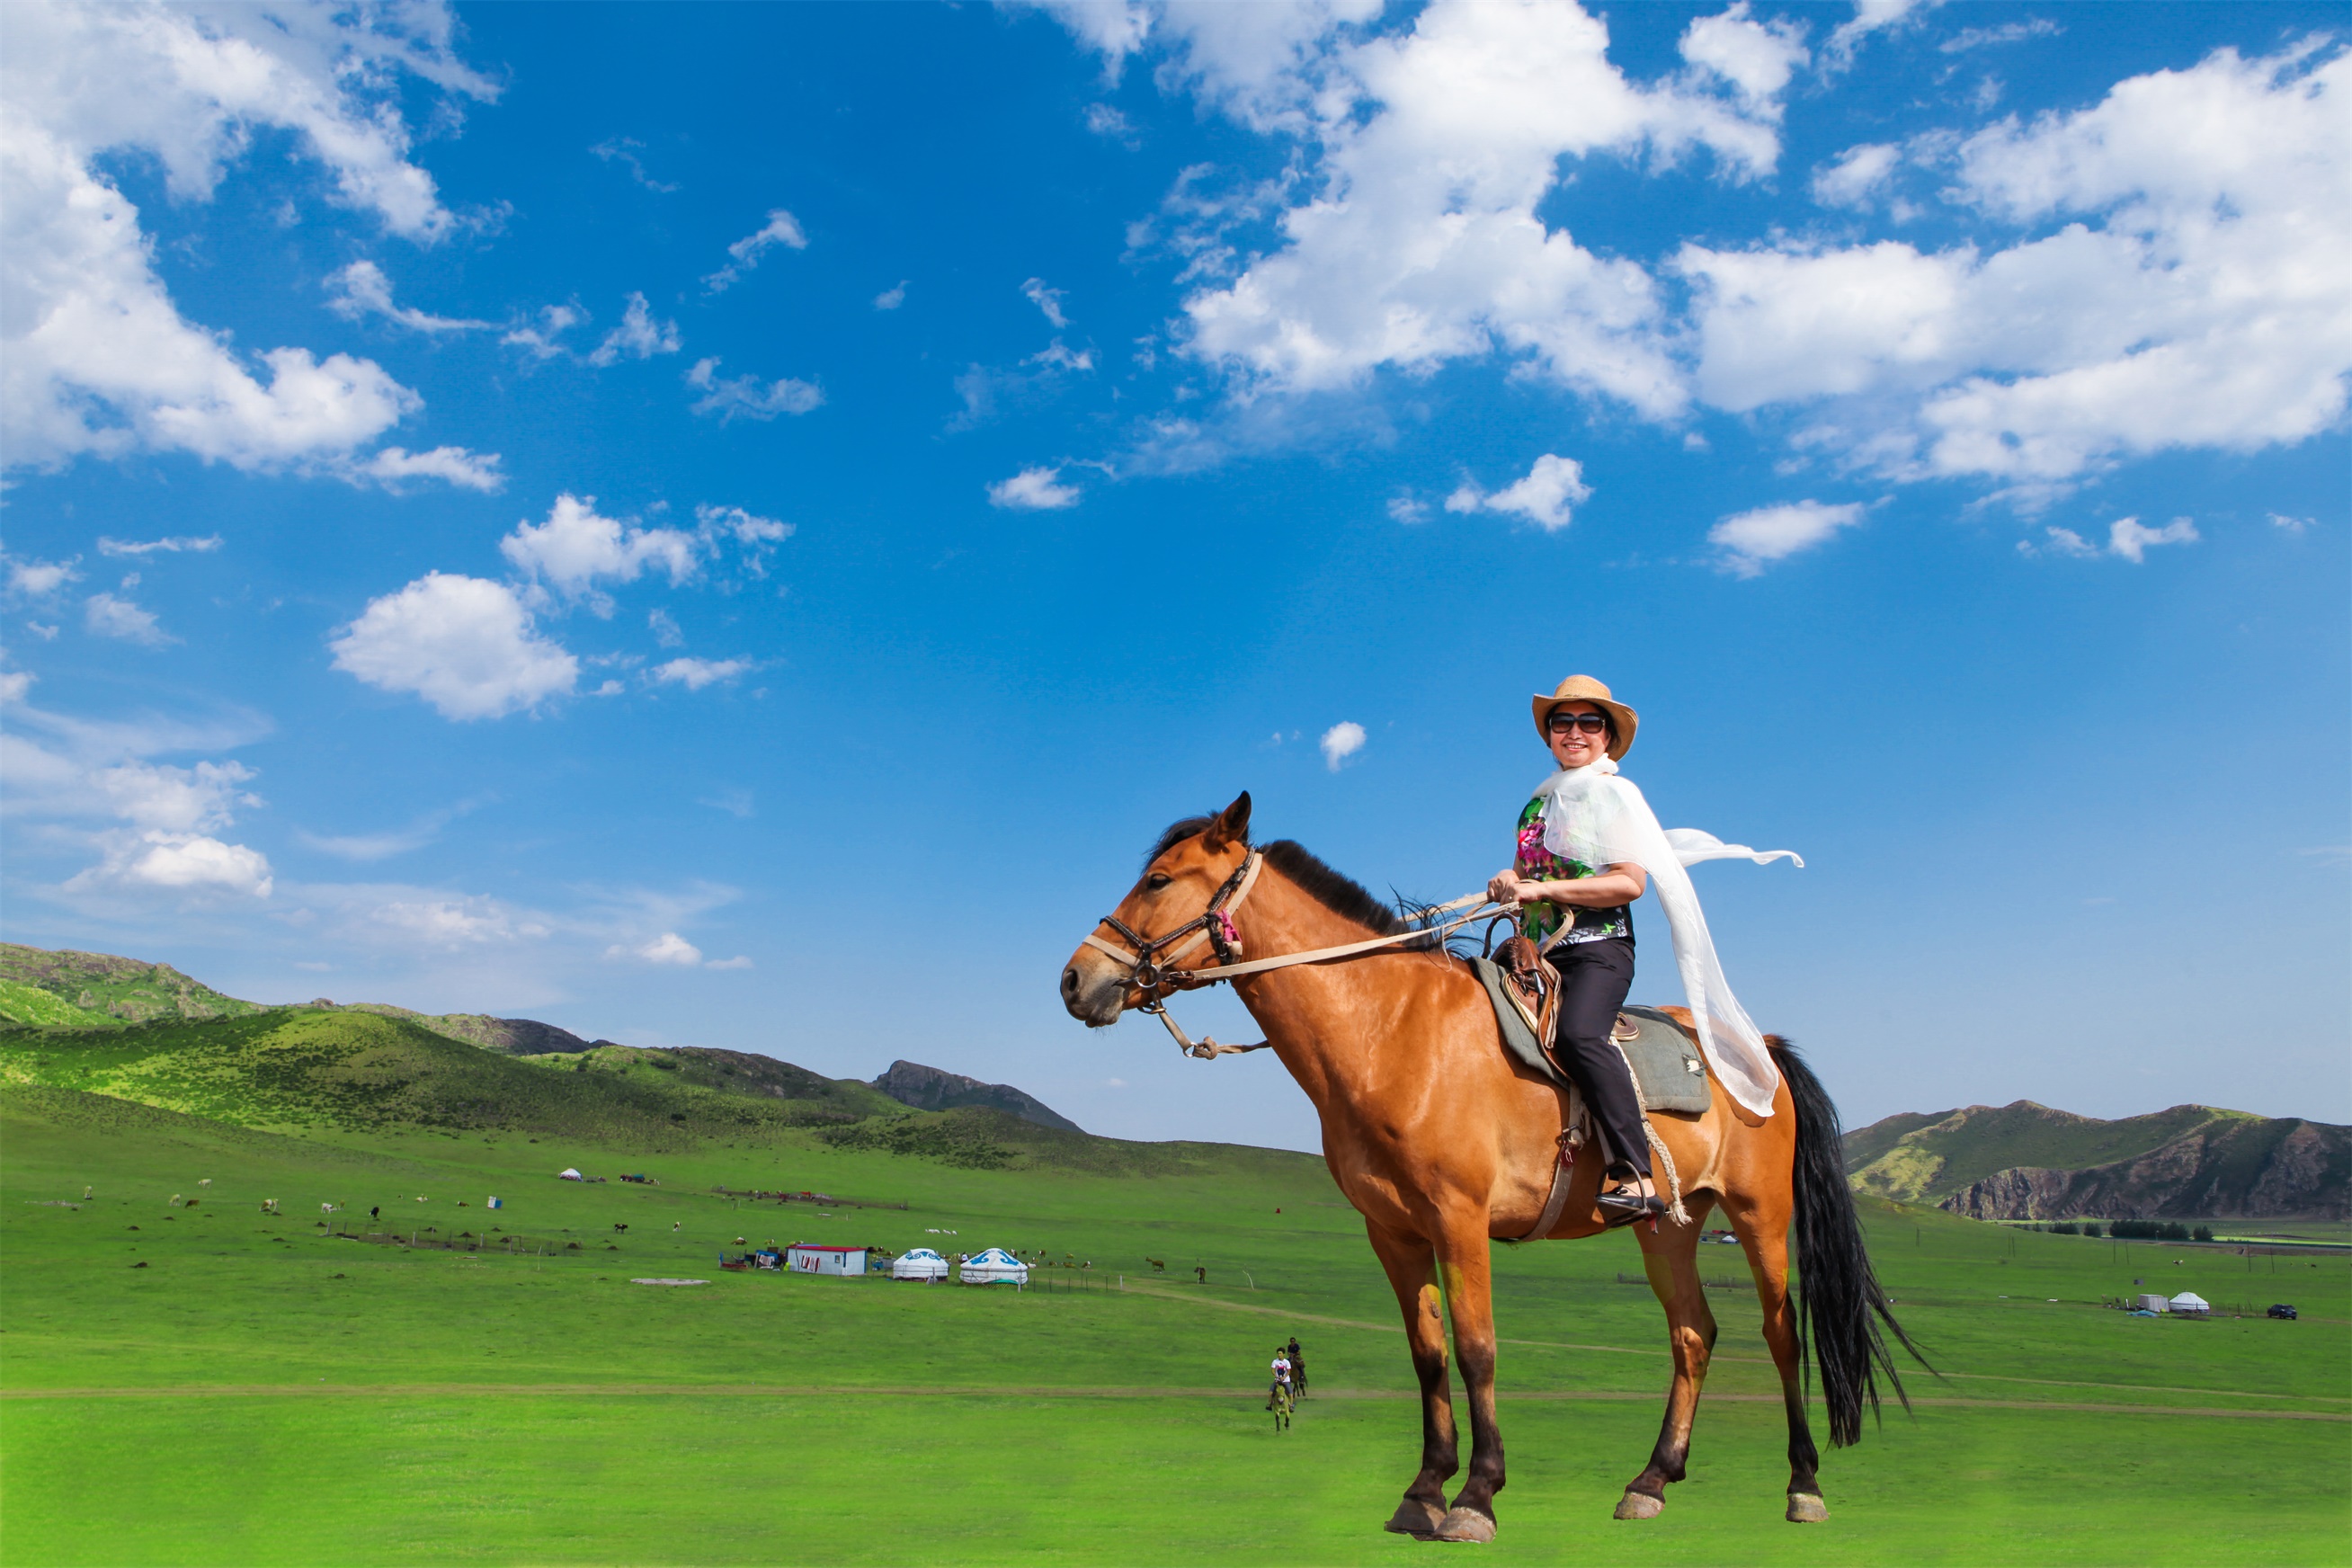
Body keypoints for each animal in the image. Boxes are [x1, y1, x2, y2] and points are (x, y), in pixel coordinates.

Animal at [1067, 798, 1929, 1542]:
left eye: (1158, 880)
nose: (1076, 980)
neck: (1390, 1031)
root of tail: (1763, 1052)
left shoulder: (1460, 1218)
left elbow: (1478, 1346)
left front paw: (1476, 1496)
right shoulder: (1393, 1232)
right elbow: (1429, 1354)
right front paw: (1422, 1491)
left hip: (1760, 1214)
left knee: (1782, 1333)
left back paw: (1803, 1485)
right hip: (1666, 1226)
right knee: (1693, 1333)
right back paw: (1651, 1480)